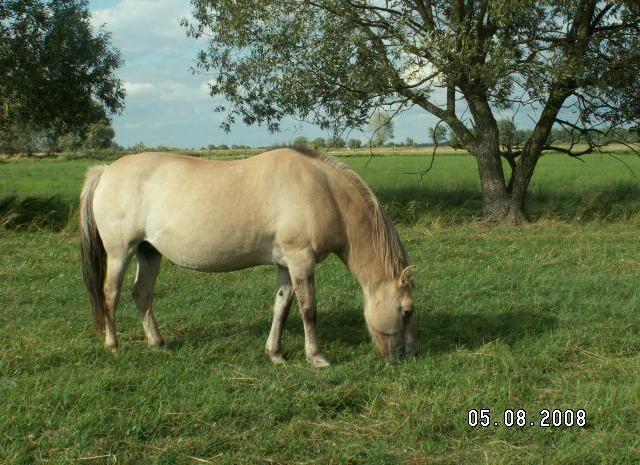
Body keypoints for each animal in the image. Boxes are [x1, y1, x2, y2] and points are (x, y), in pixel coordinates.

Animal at [80, 149, 418, 366]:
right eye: (406, 310)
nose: (408, 356)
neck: (321, 191)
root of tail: (106, 171)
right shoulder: (300, 259)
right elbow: (308, 309)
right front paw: (316, 357)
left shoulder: (285, 264)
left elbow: (282, 307)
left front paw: (276, 354)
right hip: (120, 252)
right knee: (110, 294)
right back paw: (113, 345)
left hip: (148, 252)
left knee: (142, 293)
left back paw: (158, 344)